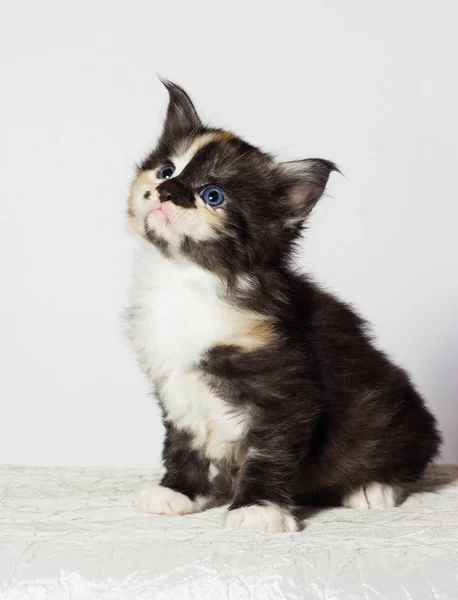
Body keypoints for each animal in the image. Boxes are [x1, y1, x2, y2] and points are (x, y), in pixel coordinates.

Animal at [125, 81, 440, 536]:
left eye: (212, 196)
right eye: (166, 170)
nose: (166, 192)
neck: (187, 279)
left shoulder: (285, 385)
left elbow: (267, 451)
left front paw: (257, 509)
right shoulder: (174, 379)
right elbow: (183, 440)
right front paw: (179, 492)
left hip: (388, 407)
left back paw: (371, 488)